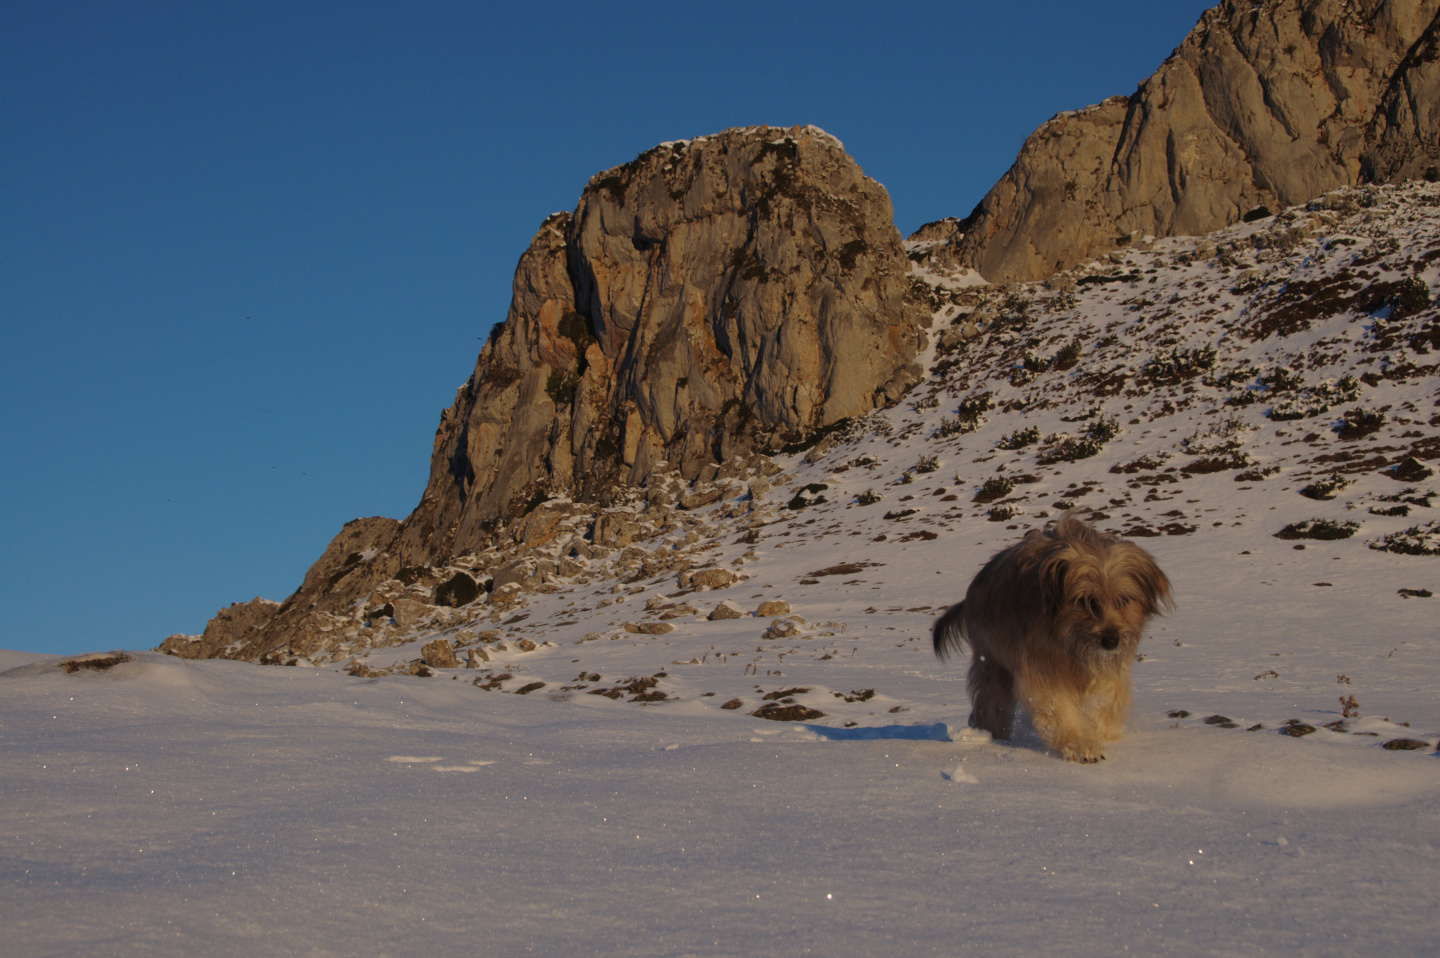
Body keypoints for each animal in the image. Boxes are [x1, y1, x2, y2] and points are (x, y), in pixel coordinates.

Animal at [933, 515, 1169, 760]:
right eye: (1087, 601)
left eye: (1124, 600)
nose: (1111, 641)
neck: (1067, 635)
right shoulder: (1042, 663)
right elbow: (1058, 706)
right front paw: (1080, 744)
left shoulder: (1102, 665)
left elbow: (1108, 697)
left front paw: (1104, 733)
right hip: (993, 660)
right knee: (991, 700)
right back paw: (989, 735)